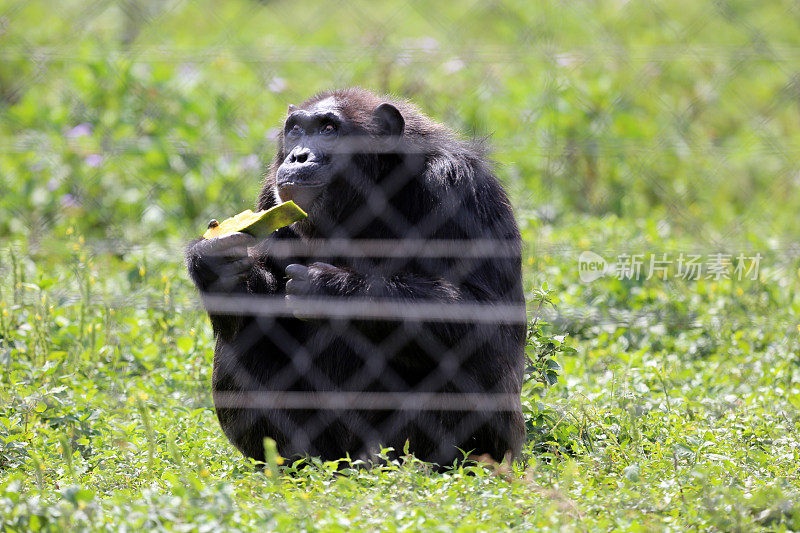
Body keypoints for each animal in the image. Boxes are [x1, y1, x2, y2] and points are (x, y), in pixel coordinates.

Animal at [185, 87, 528, 466]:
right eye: (296, 130)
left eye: (329, 129)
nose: (298, 156)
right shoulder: (267, 198)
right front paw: (214, 264)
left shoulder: (459, 187)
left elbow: (489, 325)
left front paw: (329, 288)